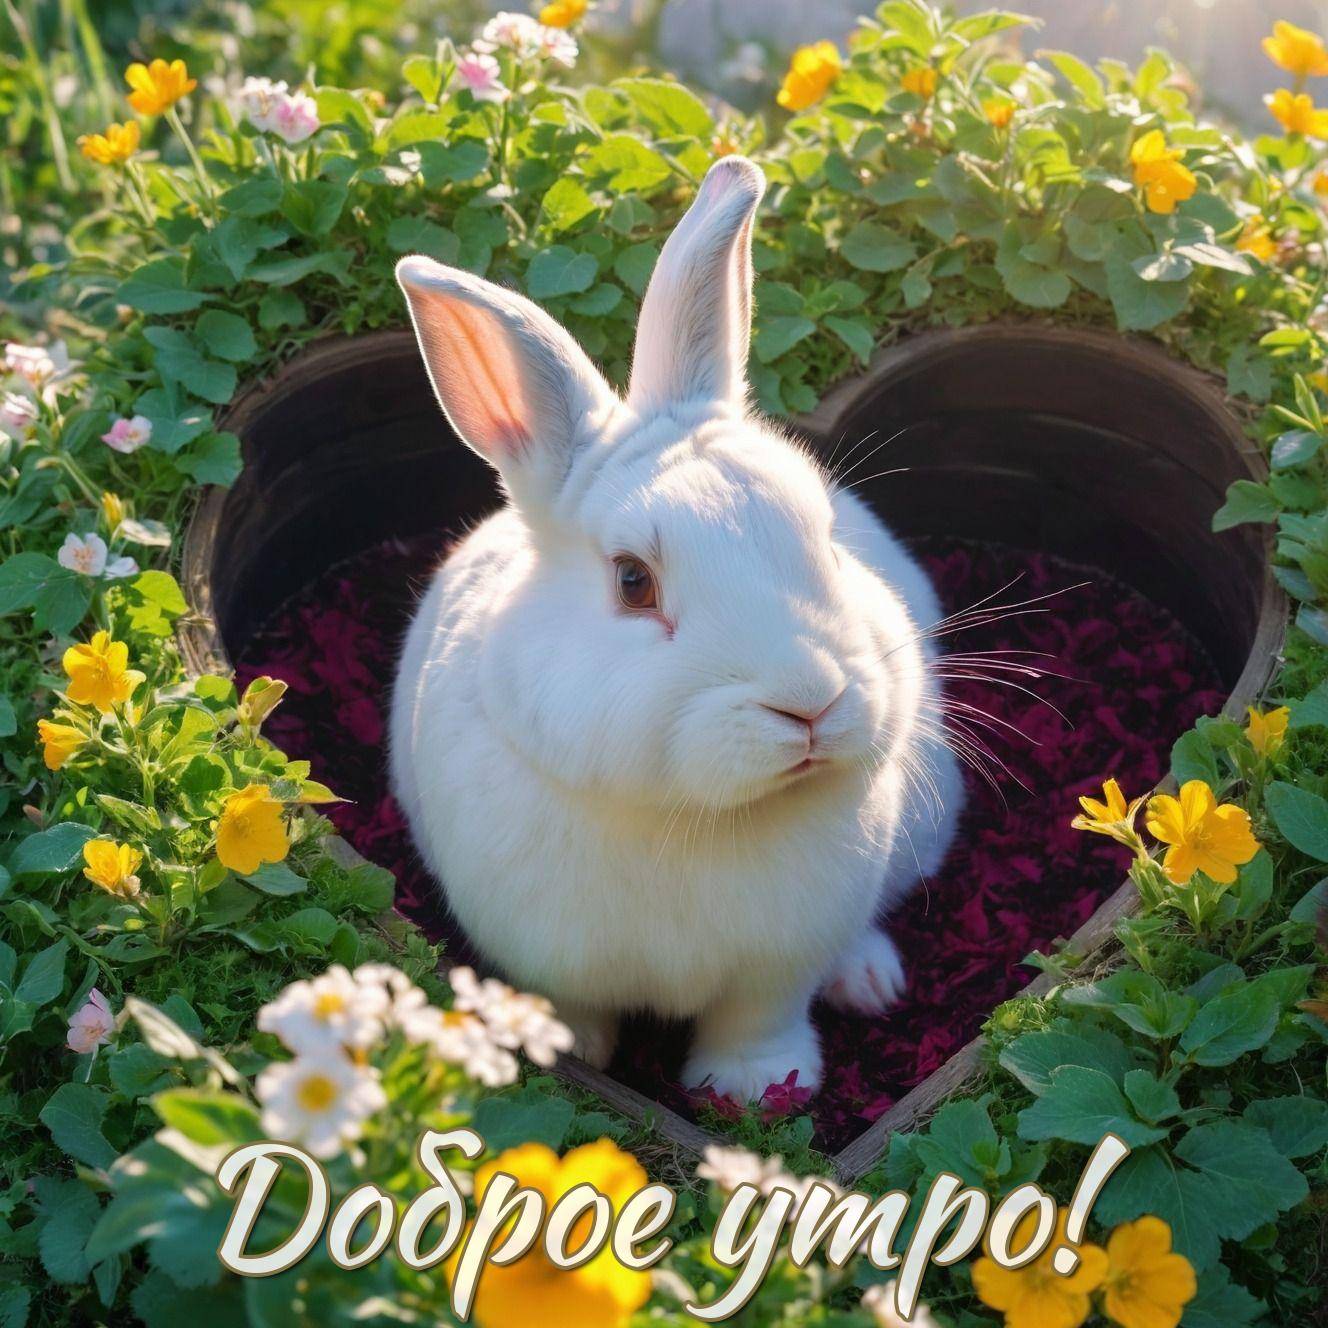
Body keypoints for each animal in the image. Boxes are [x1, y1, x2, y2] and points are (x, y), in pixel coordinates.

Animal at [391, 155, 962, 1103]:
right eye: (634, 581)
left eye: (825, 535)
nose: (812, 703)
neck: (694, 818)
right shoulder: (542, 954)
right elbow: (571, 1007)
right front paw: (567, 1055)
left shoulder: (777, 965)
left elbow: (758, 1023)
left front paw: (755, 1090)